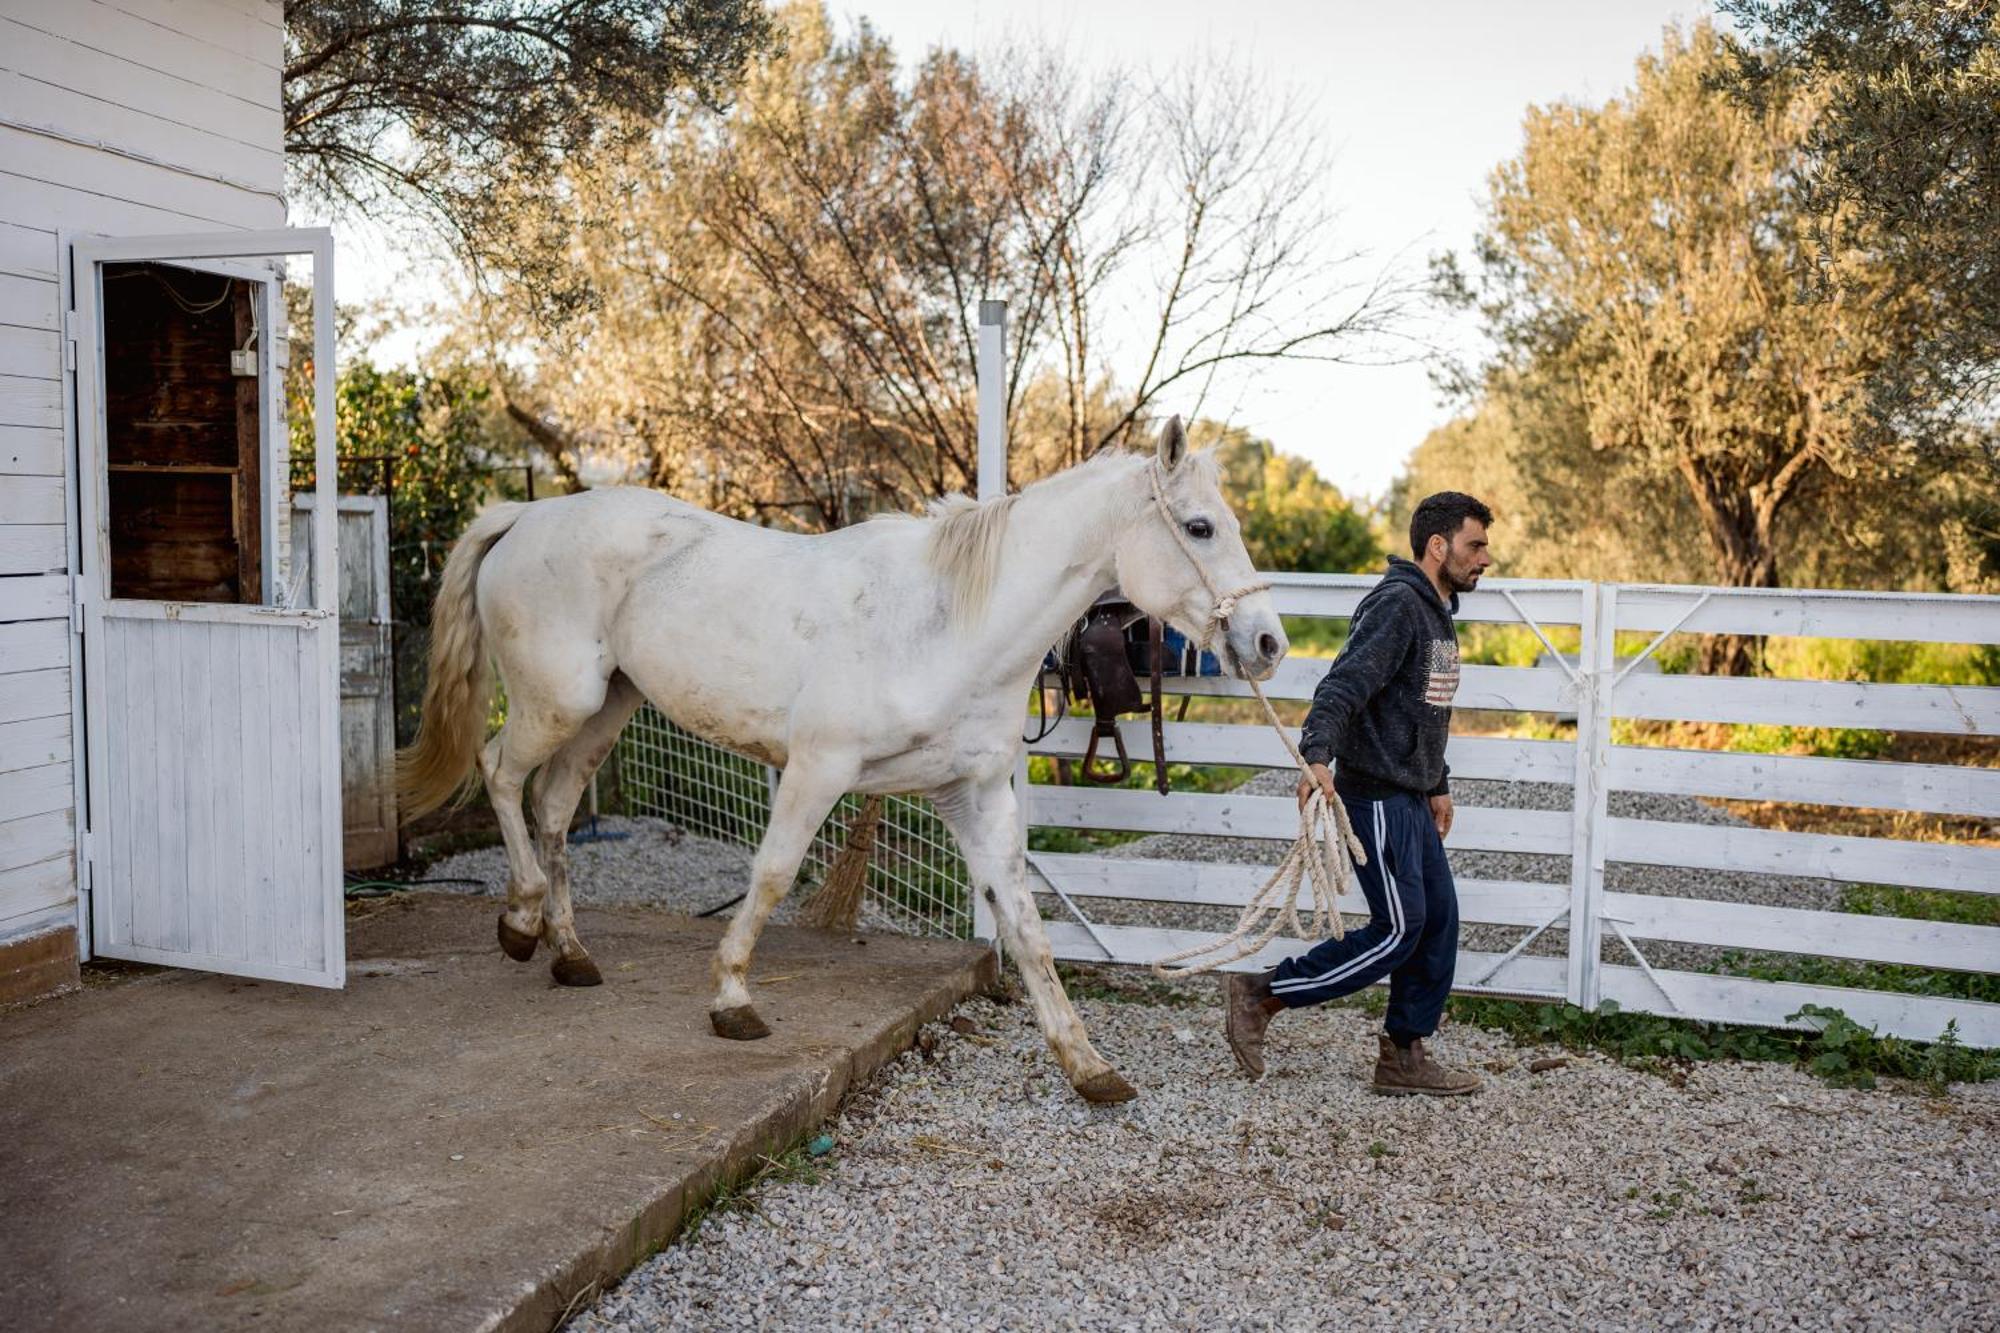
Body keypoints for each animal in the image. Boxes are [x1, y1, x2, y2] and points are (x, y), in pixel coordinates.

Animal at [398, 418, 1288, 1096]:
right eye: (1201, 527)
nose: (1269, 643)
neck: (947, 623)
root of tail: (525, 515)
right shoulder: (816, 770)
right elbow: (772, 876)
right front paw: (732, 999)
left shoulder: (974, 796)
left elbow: (1027, 923)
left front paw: (1087, 1064)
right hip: (559, 703)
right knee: (500, 775)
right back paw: (519, 922)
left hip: (604, 711)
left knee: (551, 808)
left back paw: (570, 953)